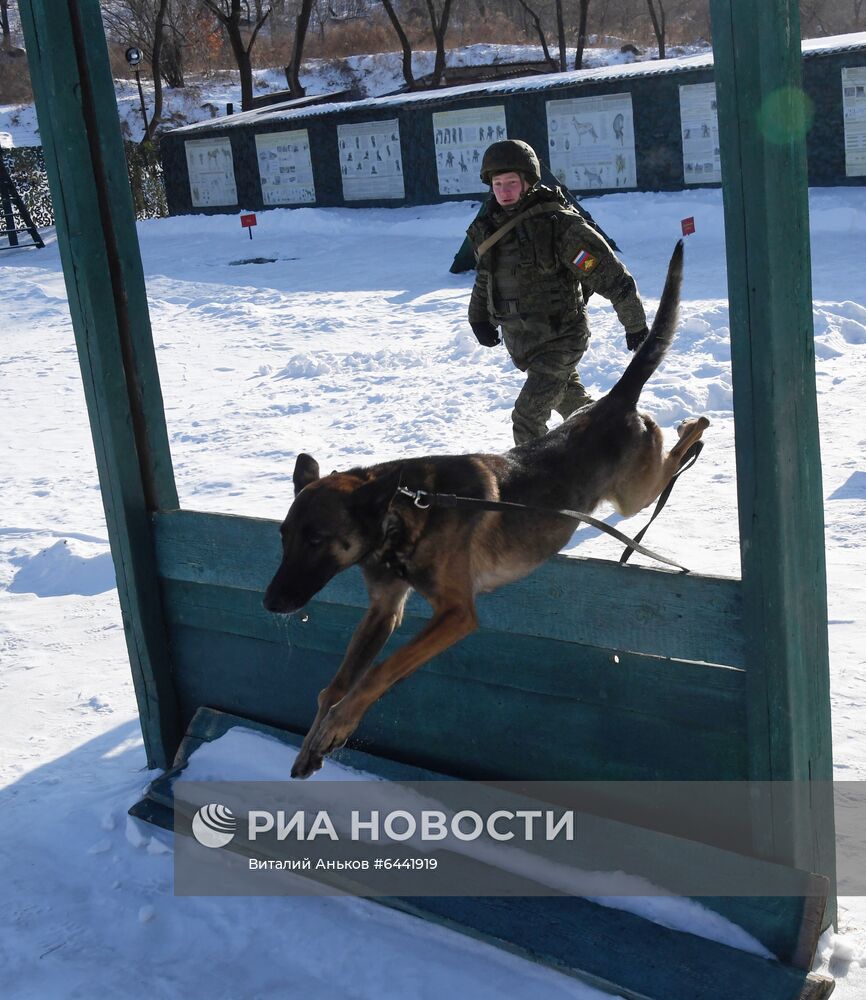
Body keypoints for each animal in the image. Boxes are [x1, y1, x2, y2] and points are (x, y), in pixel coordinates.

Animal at [264, 240, 708, 772]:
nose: (270, 603)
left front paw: (337, 727)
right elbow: (334, 686)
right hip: (628, 491)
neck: (403, 515)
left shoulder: (456, 614)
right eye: (284, 538)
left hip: (633, 493)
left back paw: (694, 428)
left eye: (316, 540)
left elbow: (378, 673)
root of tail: (612, 404)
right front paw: (315, 740)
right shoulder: (383, 610)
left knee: (673, 450)